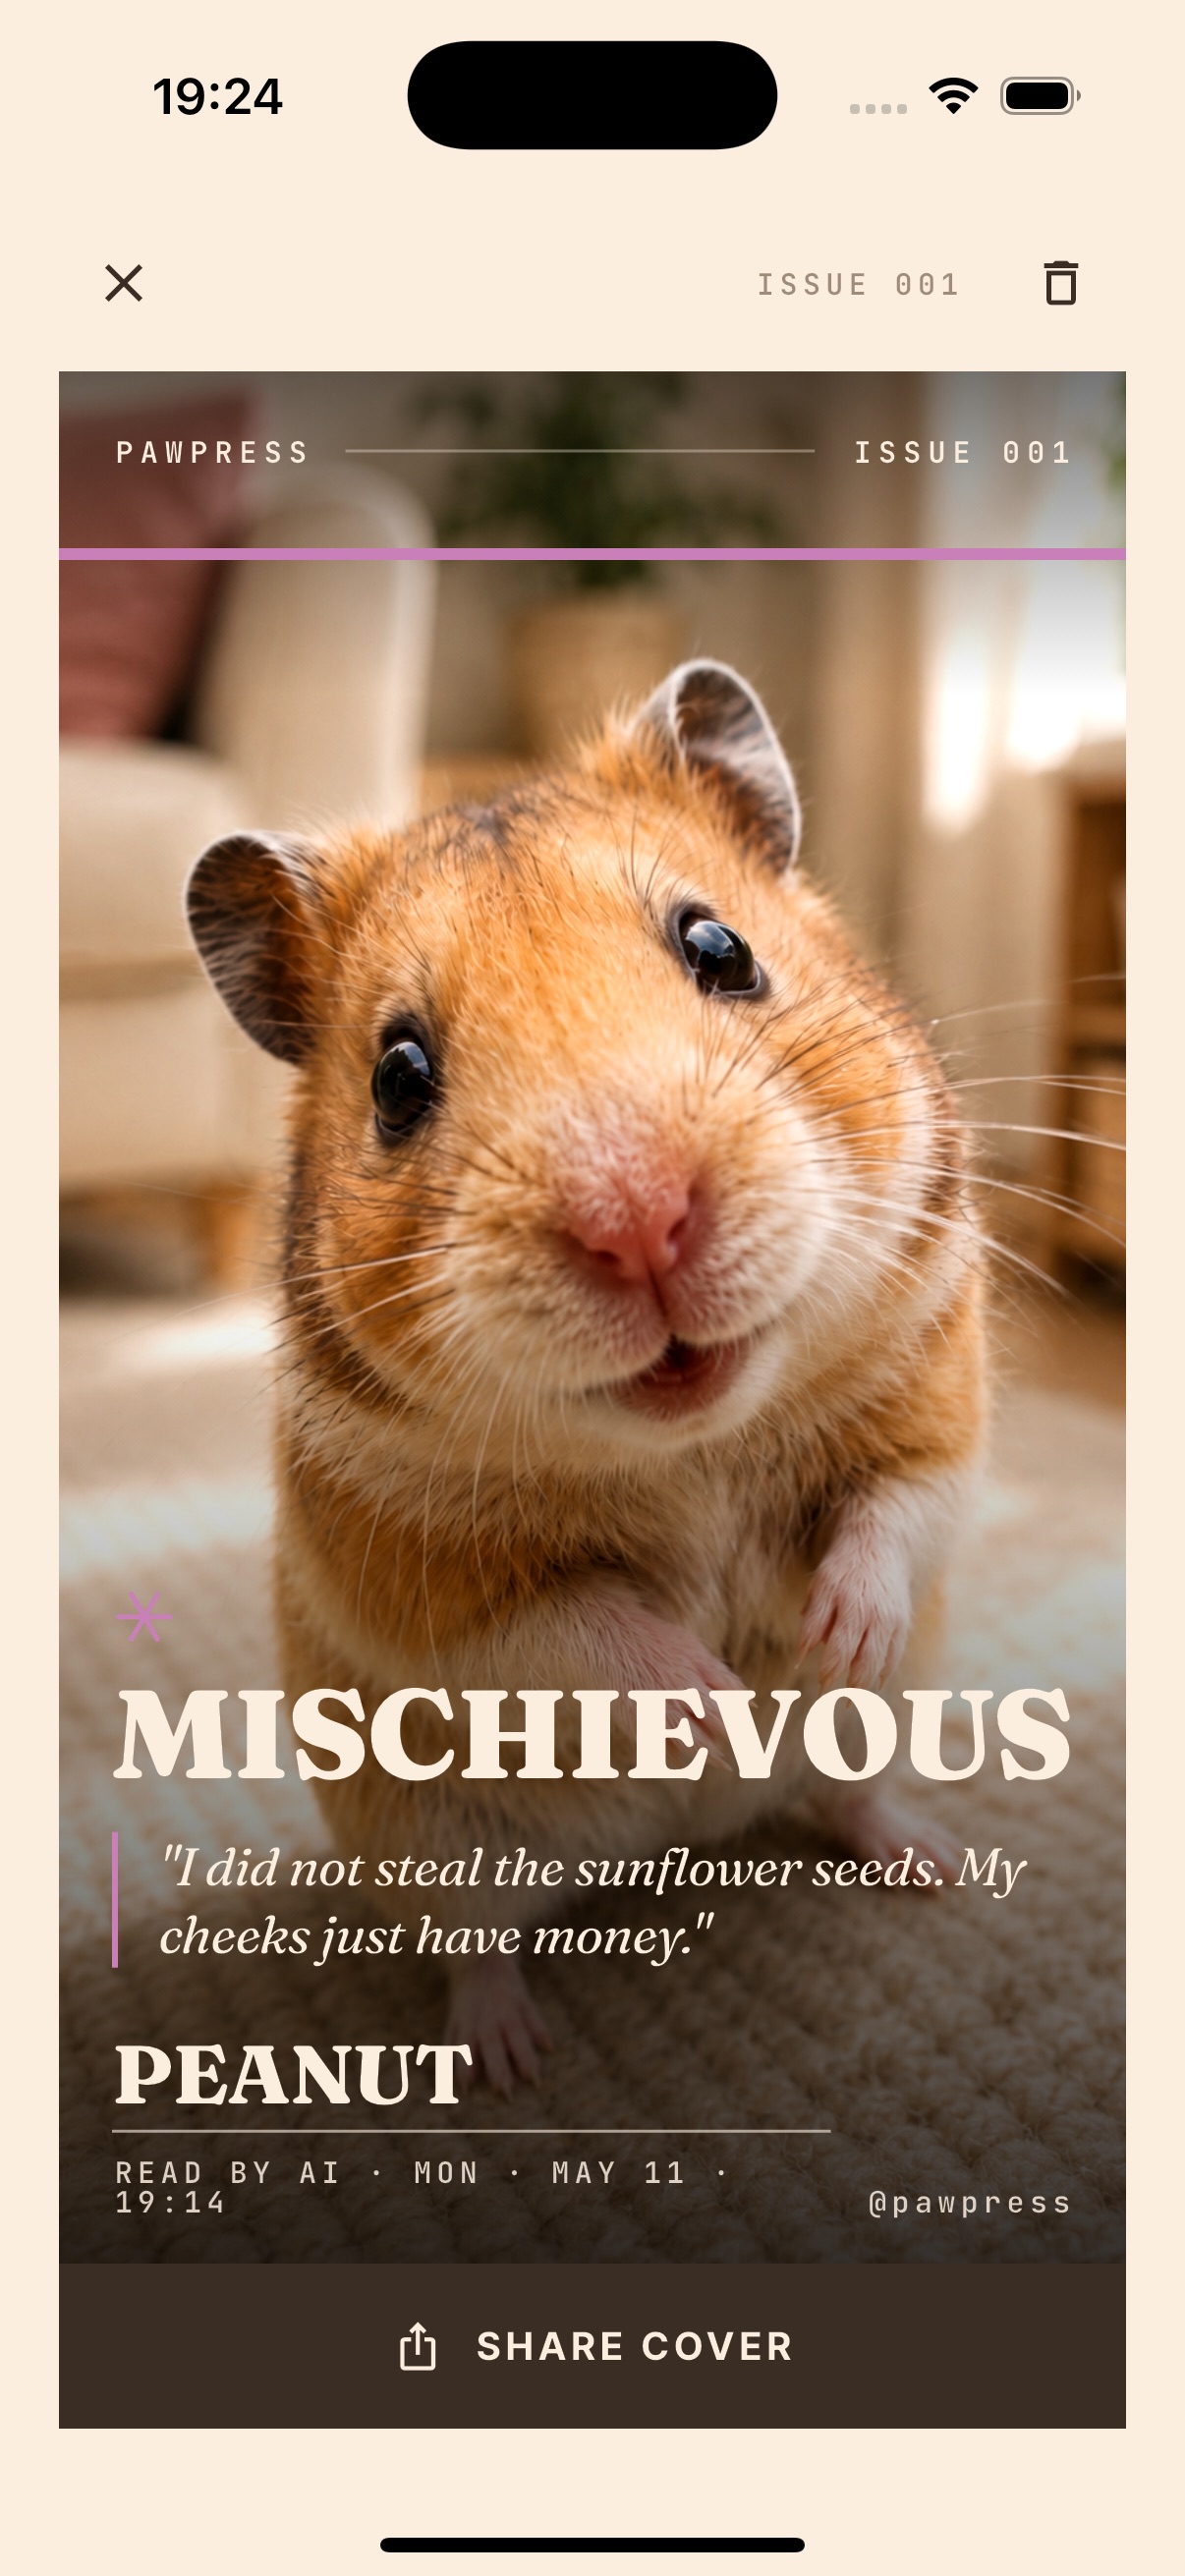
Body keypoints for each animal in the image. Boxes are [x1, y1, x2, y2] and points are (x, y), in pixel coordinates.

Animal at [187, 660, 985, 2092]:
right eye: (396, 1077)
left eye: (720, 949)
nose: (639, 1223)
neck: (693, 1437)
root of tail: (679, 1848)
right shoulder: (429, 1583)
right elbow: (588, 1630)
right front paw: (720, 1702)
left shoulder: (938, 1400)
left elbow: (893, 1515)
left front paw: (826, 1639)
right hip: (423, 1836)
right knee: (476, 1943)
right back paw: (506, 2056)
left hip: (881, 1726)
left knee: (841, 1792)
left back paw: (922, 1856)